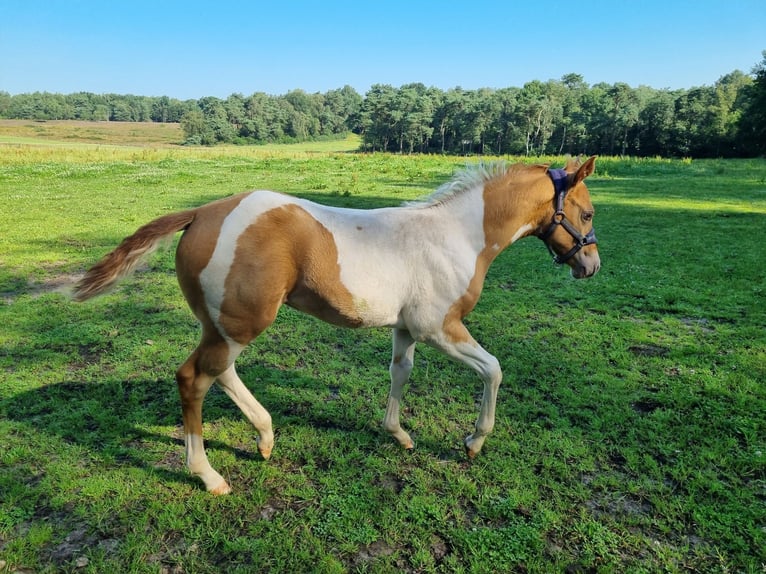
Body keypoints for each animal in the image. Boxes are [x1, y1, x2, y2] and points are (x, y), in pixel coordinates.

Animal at [73, 156, 600, 496]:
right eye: (587, 212)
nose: (591, 266)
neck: (458, 237)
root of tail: (202, 211)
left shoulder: (406, 329)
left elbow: (400, 373)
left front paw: (398, 434)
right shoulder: (440, 327)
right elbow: (493, 369)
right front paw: (473, 443)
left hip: (224, 326)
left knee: (218, 373)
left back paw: (265, 439)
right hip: (241, 324)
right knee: (193, 378)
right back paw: (210, 476)